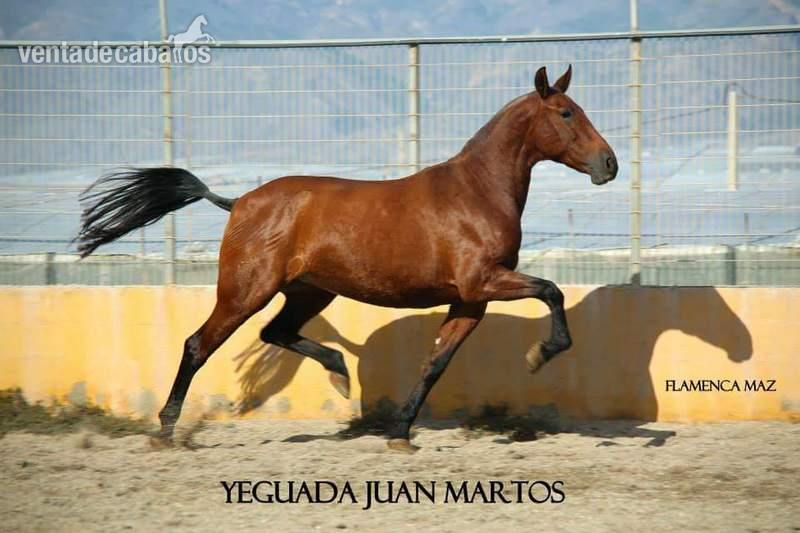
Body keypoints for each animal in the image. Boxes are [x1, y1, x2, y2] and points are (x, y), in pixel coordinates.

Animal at [76, 65, 618, 453]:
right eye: (566, 113)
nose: (609, 164)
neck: (476, 192)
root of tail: (239, 202)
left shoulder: (470, 300)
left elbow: (435, 363)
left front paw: (400, 435)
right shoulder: (484, 281)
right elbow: (551, 291)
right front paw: (540, 353)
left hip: (310, 291)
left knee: (275, 332)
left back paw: (339, 373)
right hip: (245, 290)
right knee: (197, 344)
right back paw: (165, 432)